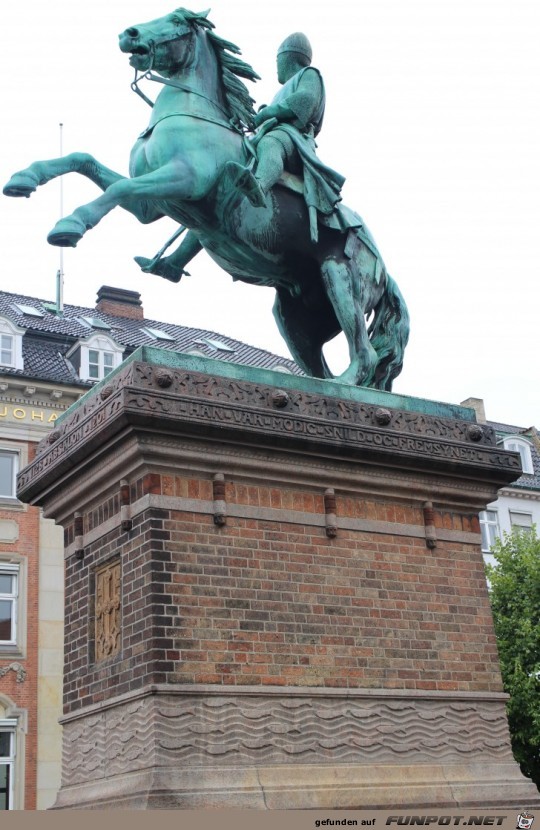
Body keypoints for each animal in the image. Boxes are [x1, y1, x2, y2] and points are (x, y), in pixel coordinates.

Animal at [3, 7, 410, 390]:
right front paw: (24, 178)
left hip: (340, 278)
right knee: (321, 367)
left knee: (365, 354)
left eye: (177, 20)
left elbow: (118, 188)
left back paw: (344, 386)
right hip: (295, 315)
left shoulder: (183, 181)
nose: (129, 33)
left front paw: (69, 225)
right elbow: (82, 159)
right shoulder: (150, 206)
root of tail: (384, 269)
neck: (192, 115)